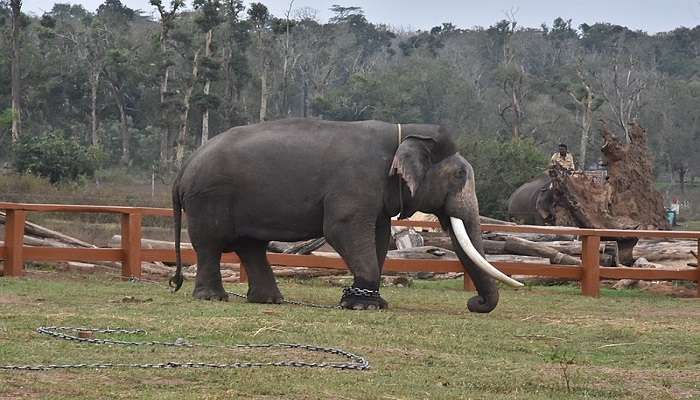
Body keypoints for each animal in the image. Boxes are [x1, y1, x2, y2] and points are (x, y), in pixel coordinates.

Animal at [168, 119, 520, 312]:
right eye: (460, 176)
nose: (474, 304)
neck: (403, 133)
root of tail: (183, 167)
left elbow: (379, 236)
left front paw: (373, 302)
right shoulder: (356, 181)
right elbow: (342, 229)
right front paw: (363, 305)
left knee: (251, 246)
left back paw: (269, 301)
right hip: (209, 197)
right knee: (211, 244)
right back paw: (213, 298)